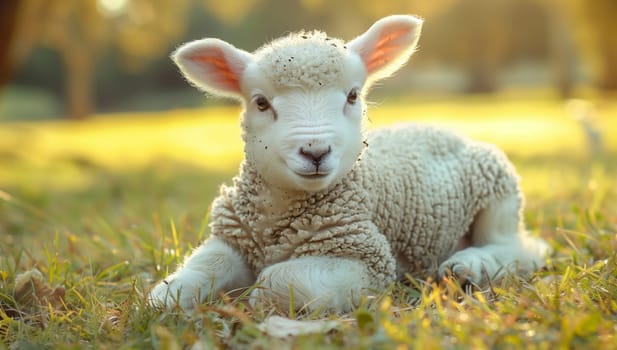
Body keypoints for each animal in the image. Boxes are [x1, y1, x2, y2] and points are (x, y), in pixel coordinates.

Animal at [149, 15, 548, 314]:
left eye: (353, 96)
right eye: (261, 103)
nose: (315, 151)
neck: (278, 220)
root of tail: (440, 126)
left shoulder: (367, 259)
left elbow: (275, 280)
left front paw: (257, 299)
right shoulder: (233, 235)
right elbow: (208, 265)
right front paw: (166, 294)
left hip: (498, 191)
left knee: (523, 248)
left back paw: (469, 266)